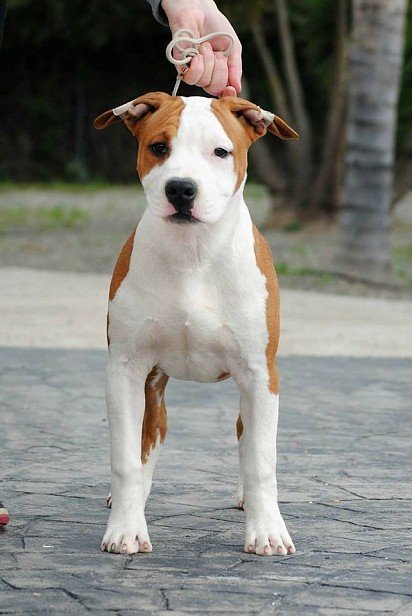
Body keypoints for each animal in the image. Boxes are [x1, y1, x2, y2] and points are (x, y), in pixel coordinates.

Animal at [94, 92, 298, 560]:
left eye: (221, 151)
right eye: (158, 147)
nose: (181, 188)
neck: (194, 252)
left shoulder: (261, 375)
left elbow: (261, 460)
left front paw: (268, 532)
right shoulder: (125, 369)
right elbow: (126, 458)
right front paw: (126, 529)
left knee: (244, 433)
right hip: (152, 382)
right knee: (151, 434)